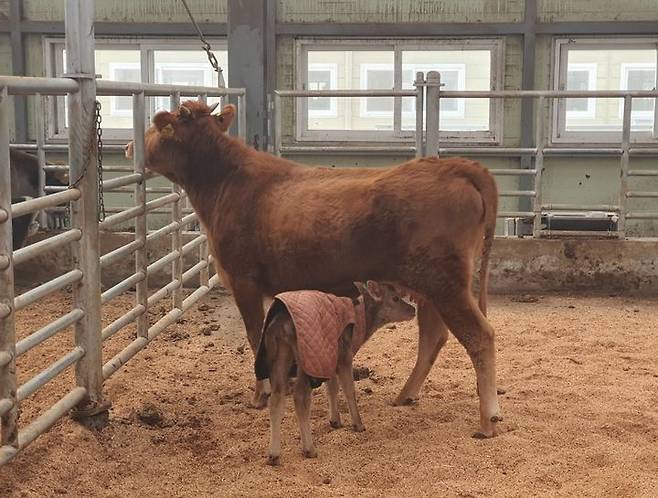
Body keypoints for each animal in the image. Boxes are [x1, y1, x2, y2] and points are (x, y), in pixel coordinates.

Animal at [131, 102, 502, 440]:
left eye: (156, 127)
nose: (131, 146)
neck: (224, 183)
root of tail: (455, 166)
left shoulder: (243, 280)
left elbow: (254, 335)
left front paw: (260, 395)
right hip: (432, 287)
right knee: (434, 336)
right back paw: (405, 395)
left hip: (444, 284)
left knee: (479, 336)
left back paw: (488, 420)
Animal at [254, 282, 412, 464]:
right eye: (395, 298)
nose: (413, 309)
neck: (361, 322)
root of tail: (278, 325)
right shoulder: (344, 354)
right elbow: (348, 388)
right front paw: (358, 425)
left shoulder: (329, 359)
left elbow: (332, 388)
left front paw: (335, 421)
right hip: (306, 358)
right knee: (300, 397)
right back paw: (309, 449)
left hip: (280, 357)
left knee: (276, 398)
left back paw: (273, 455)